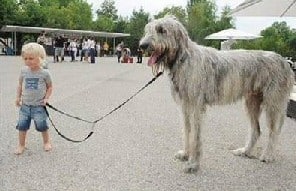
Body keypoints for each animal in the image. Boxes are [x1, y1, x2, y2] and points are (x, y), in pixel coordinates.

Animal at [140, 16, 294, 174]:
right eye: (148, 29)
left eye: (161, 30)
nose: (142, 45)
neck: (183, 59)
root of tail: (285, 61)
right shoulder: (185, 107)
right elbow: (187, 131)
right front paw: (185, 154)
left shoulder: (196, 107)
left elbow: (196, 136)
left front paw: (193, 164)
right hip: (252, 102)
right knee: (256, 130)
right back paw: (245, 151)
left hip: (273, 103)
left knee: (273, 131)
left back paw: (267, 155)